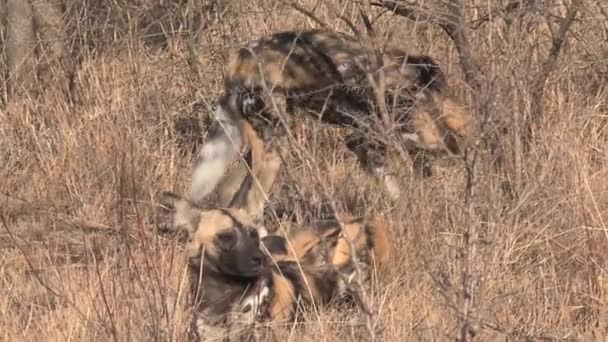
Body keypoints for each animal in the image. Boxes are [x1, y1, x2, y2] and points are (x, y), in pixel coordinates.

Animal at [191, 28, 476, 203]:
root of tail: (239, 58)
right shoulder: (364, 137)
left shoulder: (372, 146)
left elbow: (395, 191)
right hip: (275, 141)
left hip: (254, 145)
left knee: (227, 191)